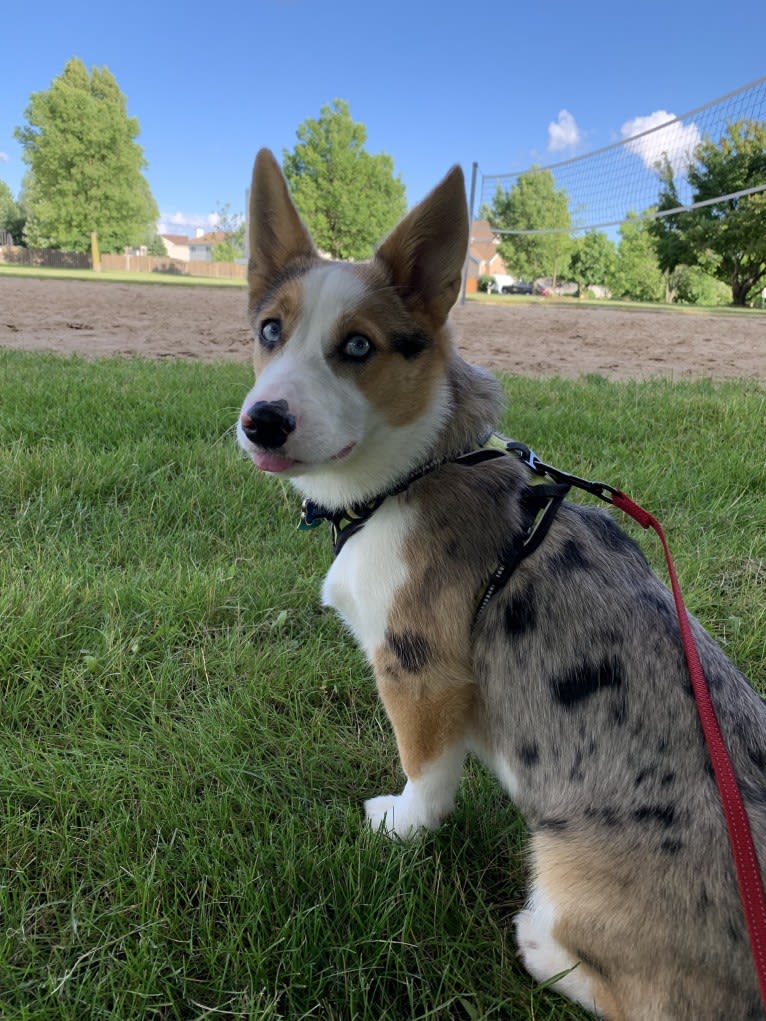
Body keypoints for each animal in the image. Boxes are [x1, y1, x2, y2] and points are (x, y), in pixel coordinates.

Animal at [236, 149, 766, 1021]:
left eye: (359, 346)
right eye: (269, 331)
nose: (262, 421)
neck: (410, 473)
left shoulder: (419, 669)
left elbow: (425, 774)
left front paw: (399, 826)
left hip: (567, 867)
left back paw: (541, 944)